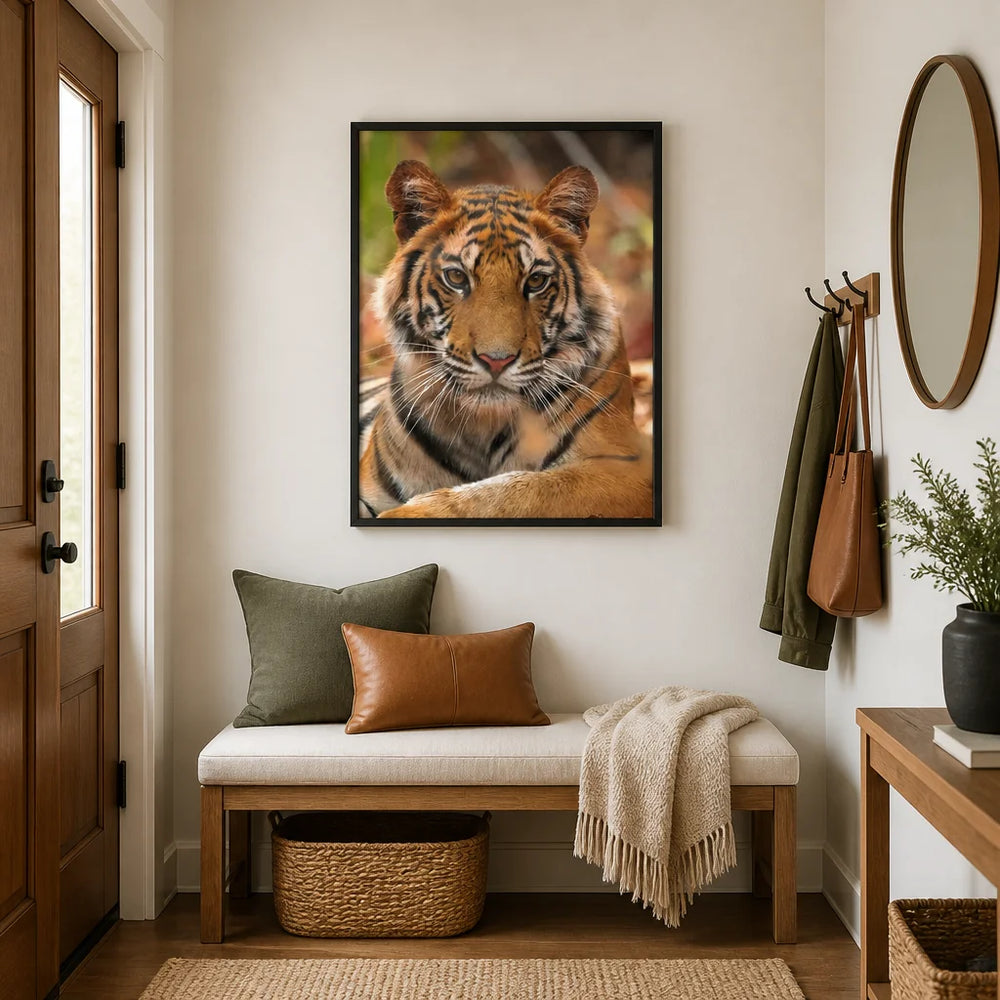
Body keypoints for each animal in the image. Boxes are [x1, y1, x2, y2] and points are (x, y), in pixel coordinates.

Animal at [358, 159, 653, 520]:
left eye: (536, 281)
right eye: (456, 277)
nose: (496, 360)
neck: (483, 425)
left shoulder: (626, 468)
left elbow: (519, 491)